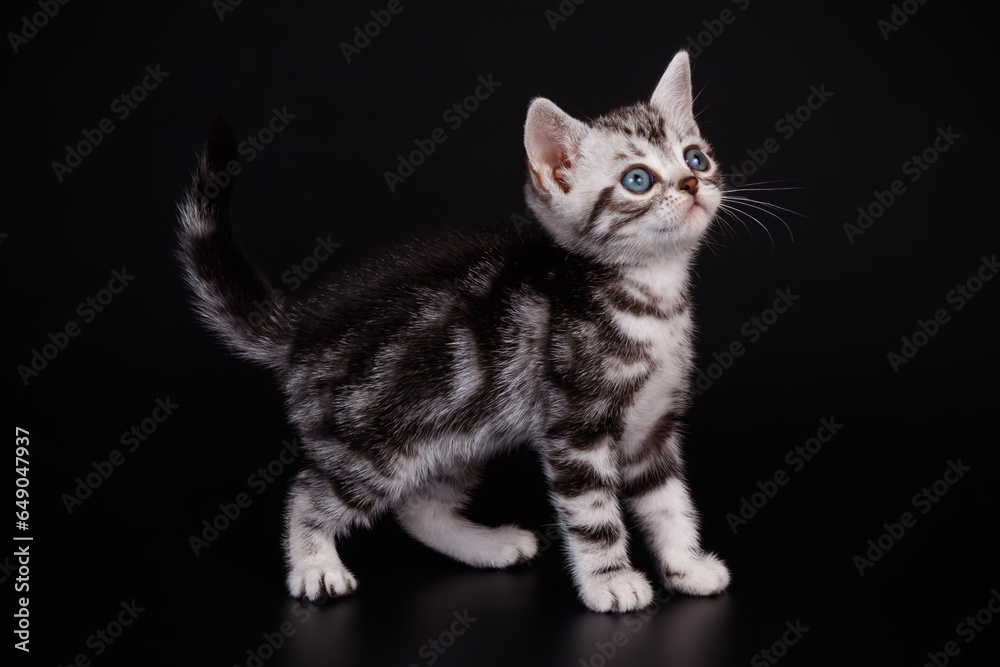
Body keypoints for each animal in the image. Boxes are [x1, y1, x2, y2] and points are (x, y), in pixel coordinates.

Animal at [178, 49, 728, 612]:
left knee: (418, 507)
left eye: (695, 158)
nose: (691, 183)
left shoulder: (653, 427)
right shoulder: (576, 428)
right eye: (637, 180)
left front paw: (686, 567)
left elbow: (669, 504)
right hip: (373, 449)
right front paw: (610, 581)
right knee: (308, 492)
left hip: (457, 432)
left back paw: (489, 546)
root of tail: (305, 329)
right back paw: (315, 566)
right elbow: (593, 513)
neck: (650, 298)